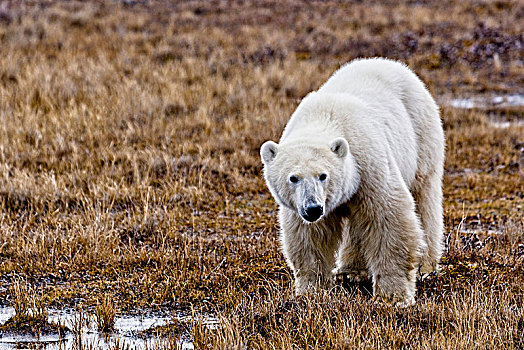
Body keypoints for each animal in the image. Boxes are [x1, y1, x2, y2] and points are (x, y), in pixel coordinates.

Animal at [260, 58, 444, 306]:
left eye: (323, 175)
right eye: (293, 177)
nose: (313, 208)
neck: (324, 118)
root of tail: (392, 63)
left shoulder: (368, 164)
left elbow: (389, 218)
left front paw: (392, 296)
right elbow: (309, 237)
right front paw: (311, 291)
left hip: (421, 137)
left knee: (423, 198)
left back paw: (425, 266)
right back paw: (351, 271)